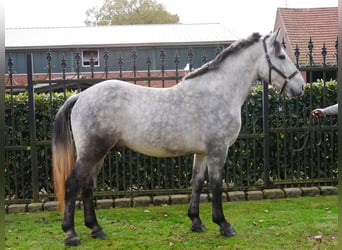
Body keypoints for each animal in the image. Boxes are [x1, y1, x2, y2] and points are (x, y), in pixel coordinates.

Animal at [52, 31, 304, 246]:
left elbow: (197, 182)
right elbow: (216, 185)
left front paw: (196, 222)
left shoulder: (202, 153)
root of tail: (81, 96)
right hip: (92, 152)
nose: (300, 86)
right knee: (72, 184)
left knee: (87, 186)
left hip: (99, 153)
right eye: (281, 56)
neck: (219, 92)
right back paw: (71, 234)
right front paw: (223, 224)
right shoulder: (218, 150)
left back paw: (96, 229)